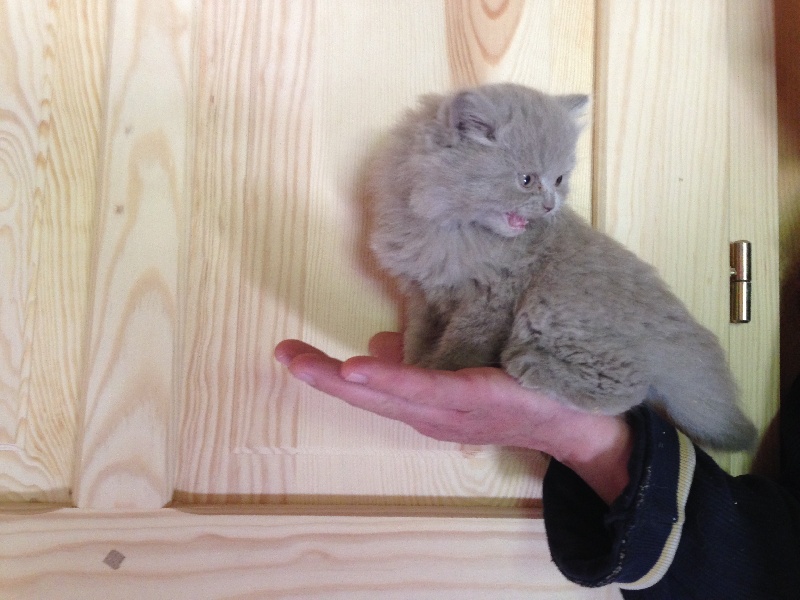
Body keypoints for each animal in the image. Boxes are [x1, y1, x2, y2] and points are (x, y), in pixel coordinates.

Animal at [368, 82, 756, 452]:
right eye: (527, 180)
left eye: (558, 179)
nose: (550, 205)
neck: (453, 230)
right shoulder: (424, 293)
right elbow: (419, 332)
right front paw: (415, 361)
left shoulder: (494, 297)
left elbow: (464, 344)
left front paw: (442, 369)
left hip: (554, 305)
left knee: (631, 386)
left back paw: (530, 364)